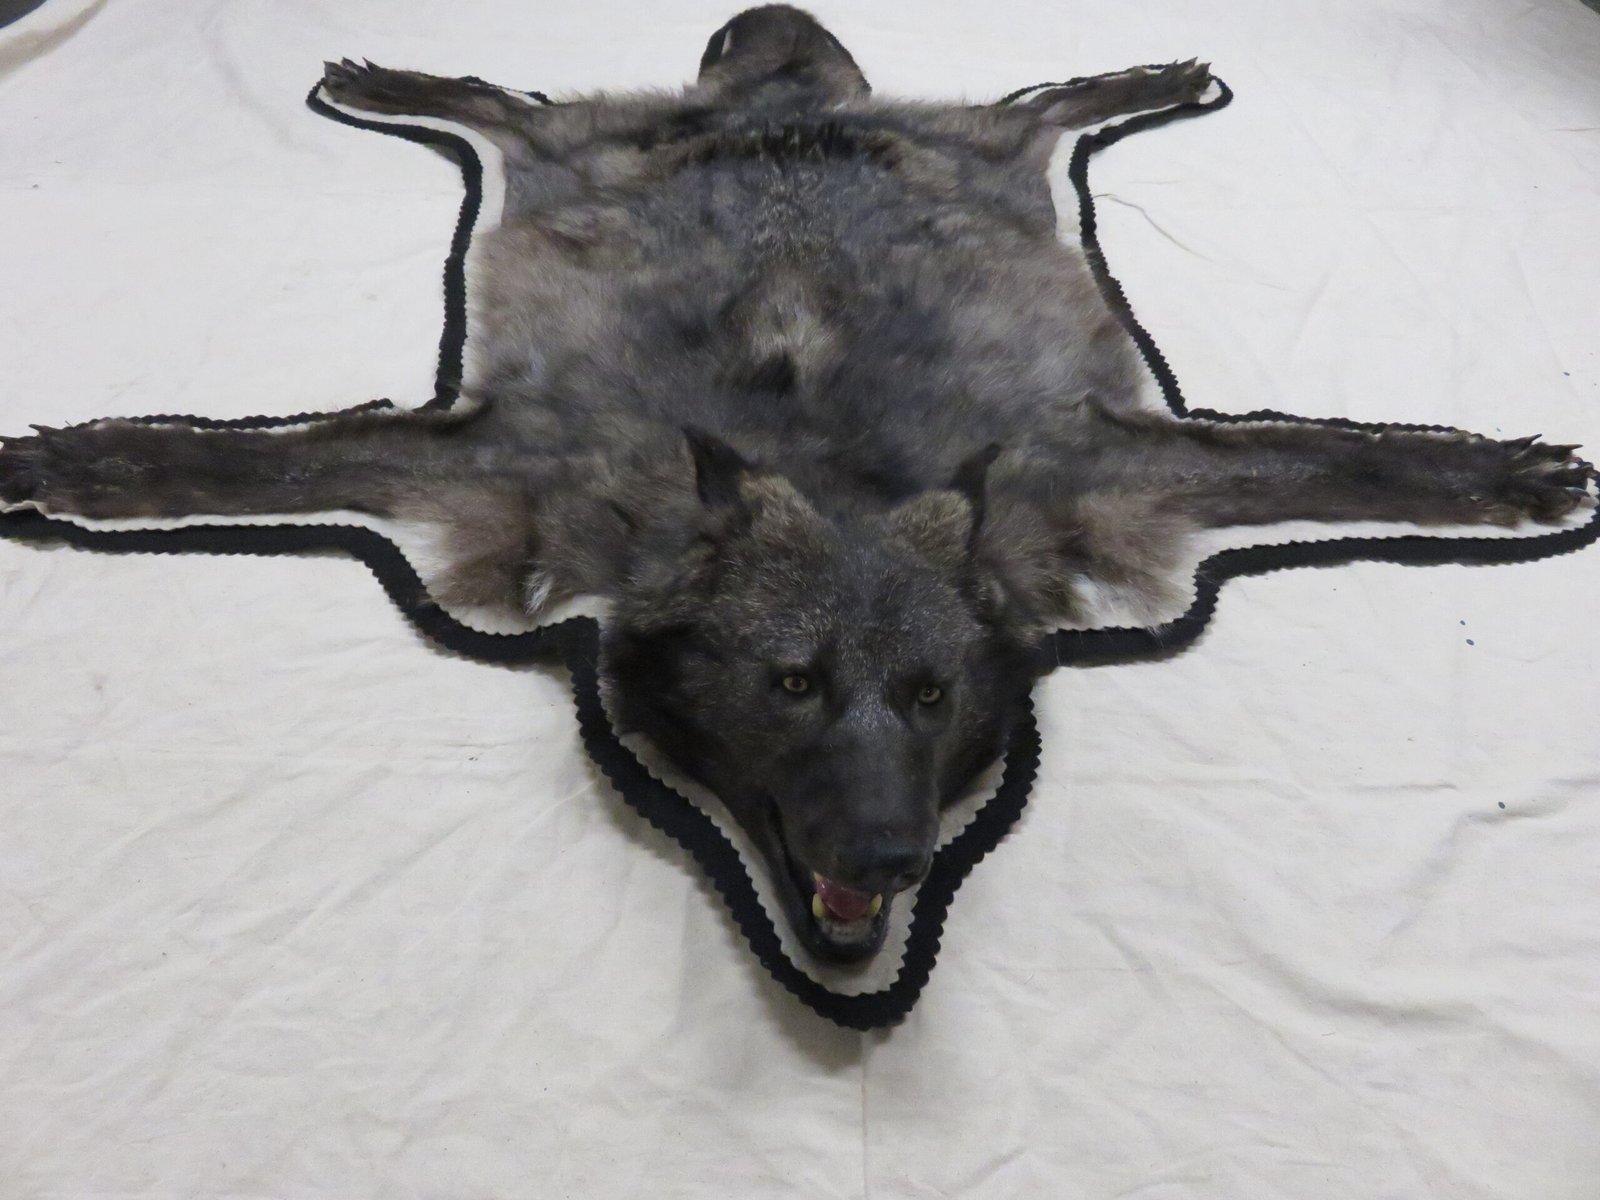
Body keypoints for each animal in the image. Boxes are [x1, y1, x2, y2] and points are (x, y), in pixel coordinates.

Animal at [0, 5, 1591, 964]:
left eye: (935, 697)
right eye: (790, 686)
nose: (886, 861)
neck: (836, 481)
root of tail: (772, 101)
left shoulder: (1089, 459)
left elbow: (1335, 451)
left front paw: (1495, 475)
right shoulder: (519, 455)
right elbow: (251, 454)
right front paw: (86, 464)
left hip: (976, 159)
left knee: (1029, 110)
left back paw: (1133, 79)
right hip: (590, 153)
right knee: (515, 109)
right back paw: (406, 81)